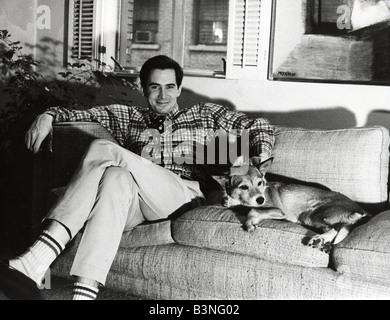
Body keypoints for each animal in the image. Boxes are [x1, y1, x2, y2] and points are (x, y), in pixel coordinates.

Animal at [224, 156, 370, 251]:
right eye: (243, 187)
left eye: (260, 183)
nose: (261, 200)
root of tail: (362, 212)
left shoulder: (278, 211)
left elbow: (252, 210)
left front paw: (250, 223)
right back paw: (323, 242)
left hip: (313, 215)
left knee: (335, 228)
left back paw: (319, 239)